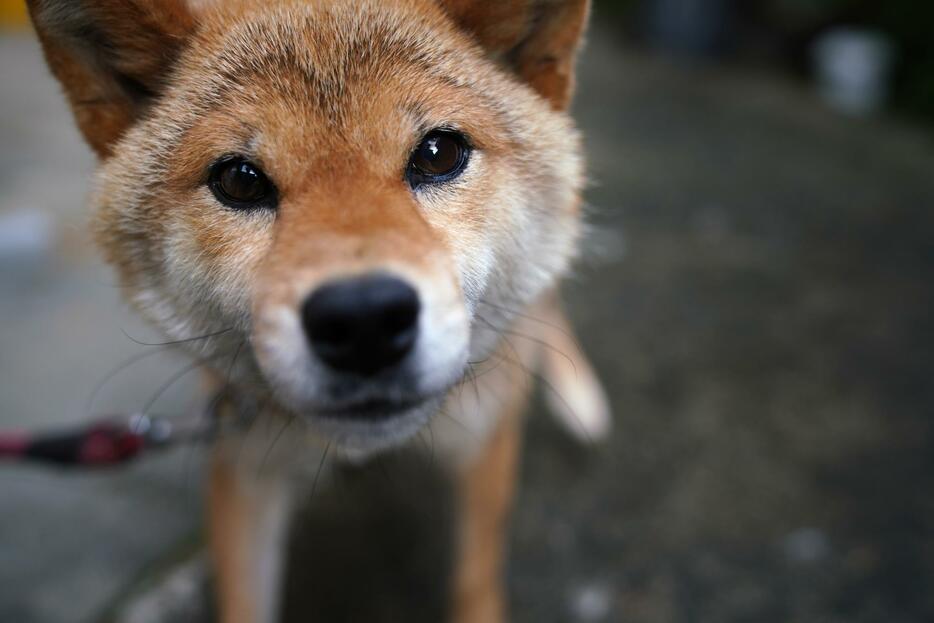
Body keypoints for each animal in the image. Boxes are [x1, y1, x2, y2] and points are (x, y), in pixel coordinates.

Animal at [25, 1, 612, 620]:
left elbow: (475, 580)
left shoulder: (485, 436)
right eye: (239, 180)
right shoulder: (243, 458)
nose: (363, 321)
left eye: (438, 153)